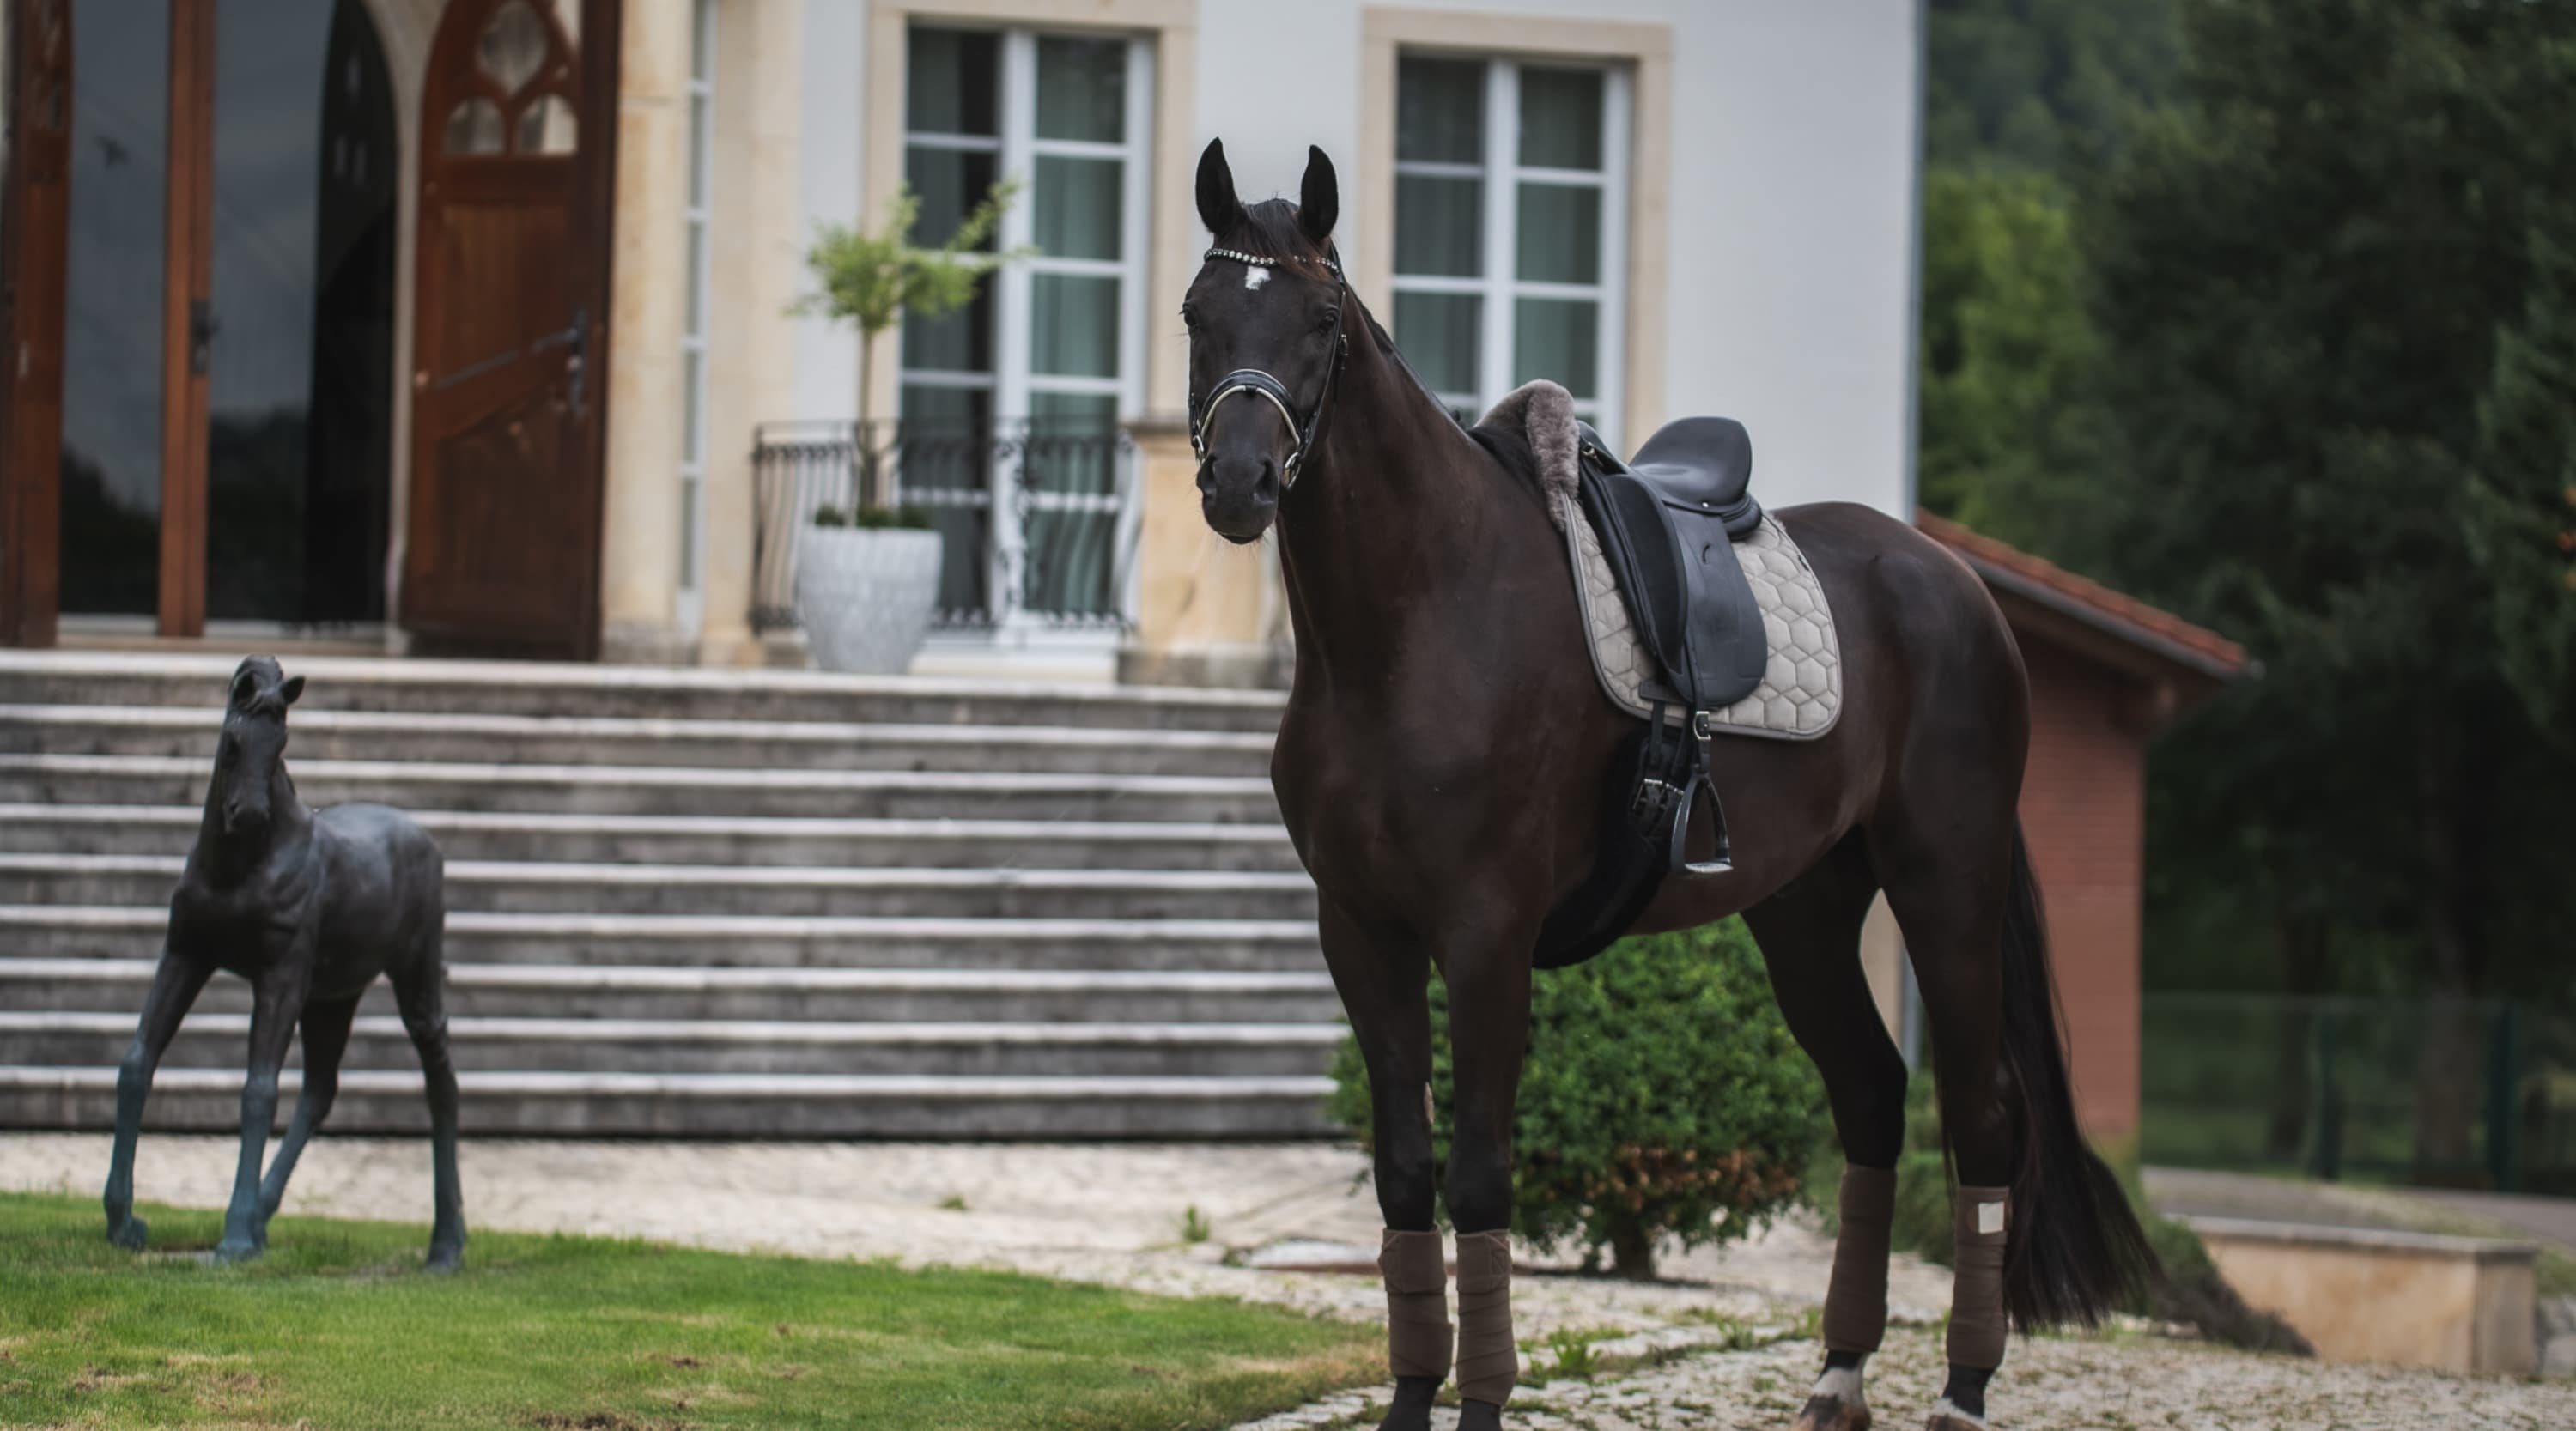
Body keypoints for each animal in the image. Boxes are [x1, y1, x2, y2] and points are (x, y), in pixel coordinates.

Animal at [100, 653, 459, 1271]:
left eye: (283, 739)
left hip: (411, 980)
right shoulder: (186, 954)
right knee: (320, 1090)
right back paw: (264, 1217)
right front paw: (123, 1221)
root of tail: (424, 840)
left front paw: (233, 1240)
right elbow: (138, 1061)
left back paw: (446, 1246)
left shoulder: (278, 978)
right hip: (330, 999)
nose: (247, 814)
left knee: (441, 1084)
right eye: (233, 740)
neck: (239, 868)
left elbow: (258, 1091)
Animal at [1185, 142, 2154, 1431]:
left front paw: (1480, 1402)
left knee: (1983, 1109)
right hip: (1804, 909)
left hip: (1947, 881)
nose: (1240, 483)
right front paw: (1408, 1398)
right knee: (1872, 1094)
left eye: (1322, 321)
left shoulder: (1485, 934)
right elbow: (1404, 1173)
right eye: (1198, 313)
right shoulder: (1363, 931)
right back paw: (1839, 1373)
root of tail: (1959, 586)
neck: (1418, 622)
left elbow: (1480, 1173)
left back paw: (1961, 1386)